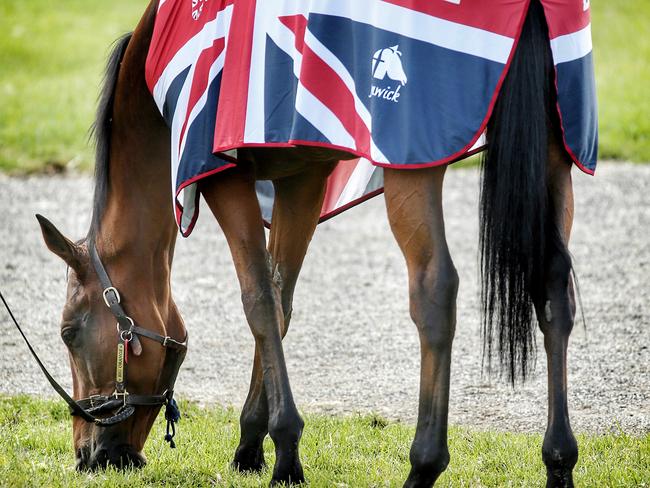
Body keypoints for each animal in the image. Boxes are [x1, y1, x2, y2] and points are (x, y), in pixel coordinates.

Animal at [38, 1, 580, 486]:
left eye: (68, 332)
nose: (87, 455)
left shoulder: (224, 177)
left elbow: (258, 299)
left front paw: (286, 452)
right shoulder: (304, 176)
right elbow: (281, 301)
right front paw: (251, 444)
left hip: (412, 163)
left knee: (435, 289)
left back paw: (423, 465)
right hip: (553, 154)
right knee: (554, 287)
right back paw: (558, 461)